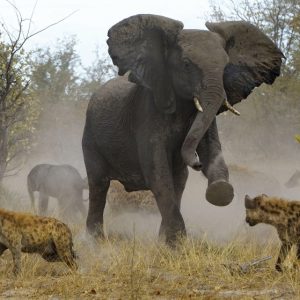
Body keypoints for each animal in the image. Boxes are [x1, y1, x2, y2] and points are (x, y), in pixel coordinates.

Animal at [82, 14, 284, 244]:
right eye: (186, 65)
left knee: (179, 181)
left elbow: (209, 151)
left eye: (226, 67)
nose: (196, 163)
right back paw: (95, 242)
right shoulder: (147, 113)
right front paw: (177, 244)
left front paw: (220, 190)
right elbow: (158, 172)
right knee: (98, 185)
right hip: (90, 138)